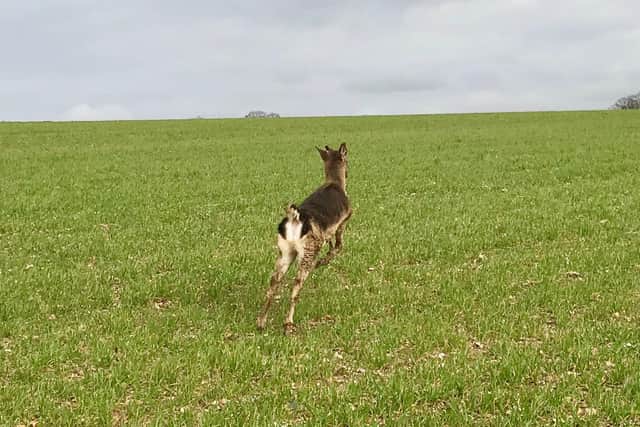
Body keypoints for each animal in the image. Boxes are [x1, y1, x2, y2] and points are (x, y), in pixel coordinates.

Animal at [257, 143, 352, 335]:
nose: (348, 173)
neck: (334, 182)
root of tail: (295, 217)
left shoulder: (326, 235)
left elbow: (331, 246)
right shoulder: (342, 224)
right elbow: (338, 247)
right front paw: (322, 262)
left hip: (284, 254)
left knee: (272, 286)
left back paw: (261, 322)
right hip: (306, 255)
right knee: (295, 288)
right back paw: (288, 323)